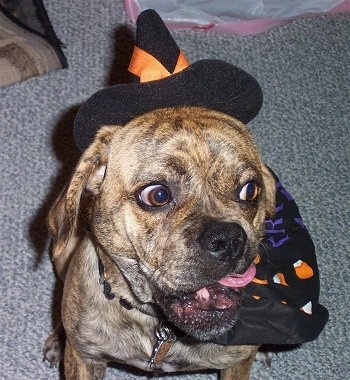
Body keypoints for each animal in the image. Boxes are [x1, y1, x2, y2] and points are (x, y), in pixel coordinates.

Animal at [43, 105, 274, 378]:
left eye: (251, 190)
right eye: (158, 195)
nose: (228, 240)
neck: (160, 325)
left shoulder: (236, 363)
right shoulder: (85, 359)